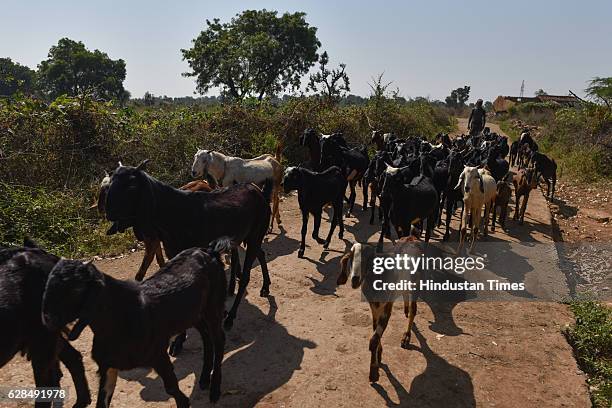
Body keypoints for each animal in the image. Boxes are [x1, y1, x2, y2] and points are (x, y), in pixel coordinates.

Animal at [40, 239, 232, 404]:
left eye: (75, 290)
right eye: (47, 285)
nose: (47, 319)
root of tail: (209, 251)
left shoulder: (158, 355)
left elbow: (173, 390)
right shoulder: (108, 366)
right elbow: (102, 400)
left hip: (213, 306)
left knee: (218, 338)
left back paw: (215, 389)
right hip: (193, 314)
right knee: (206, 336)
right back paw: (204, 377)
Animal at [104, 159, 272, 332]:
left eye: (131, 186)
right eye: (110, 183)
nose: (109, 212)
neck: (171, 211)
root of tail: (258, 191)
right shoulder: (174, 253)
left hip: (255, 234)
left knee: (246, 276)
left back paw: (231, 317)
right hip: (248, 237)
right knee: (260, 253)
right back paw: (264, 286)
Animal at [338, 236, 424, 382]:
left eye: (369, 258)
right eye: (351, 257)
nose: (355, 279)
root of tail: (411, 237)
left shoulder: (386, 309)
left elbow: (374, 339)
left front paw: (374, 372)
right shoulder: (374, 308)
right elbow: (375, 331)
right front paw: (379, 355)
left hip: (416, 284)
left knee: (414, 309)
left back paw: (406, 336)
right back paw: (406, 310)